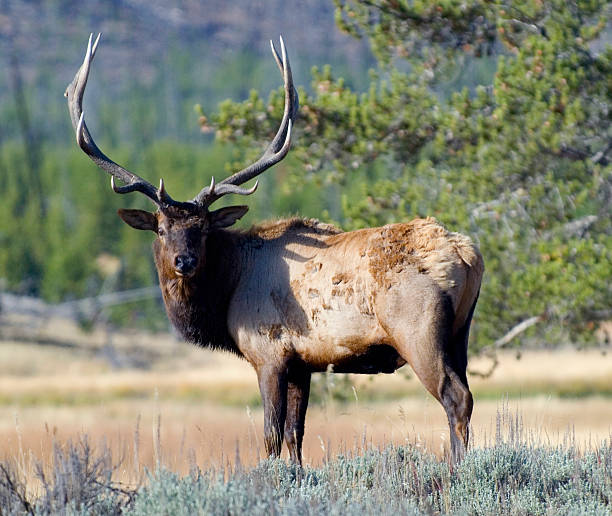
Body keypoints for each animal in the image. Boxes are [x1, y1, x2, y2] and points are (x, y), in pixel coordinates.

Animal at [67, 34, 482, 466]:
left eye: (204, 228)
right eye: (161, 229)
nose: (184, 261)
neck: (226, 292)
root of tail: (468, 255)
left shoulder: (268, 354)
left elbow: (270, 437)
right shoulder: (303, 364)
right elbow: (295, 436)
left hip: (418, 332)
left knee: (455, 398)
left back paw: (457, 468)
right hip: (461, 334)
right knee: (467, 396)